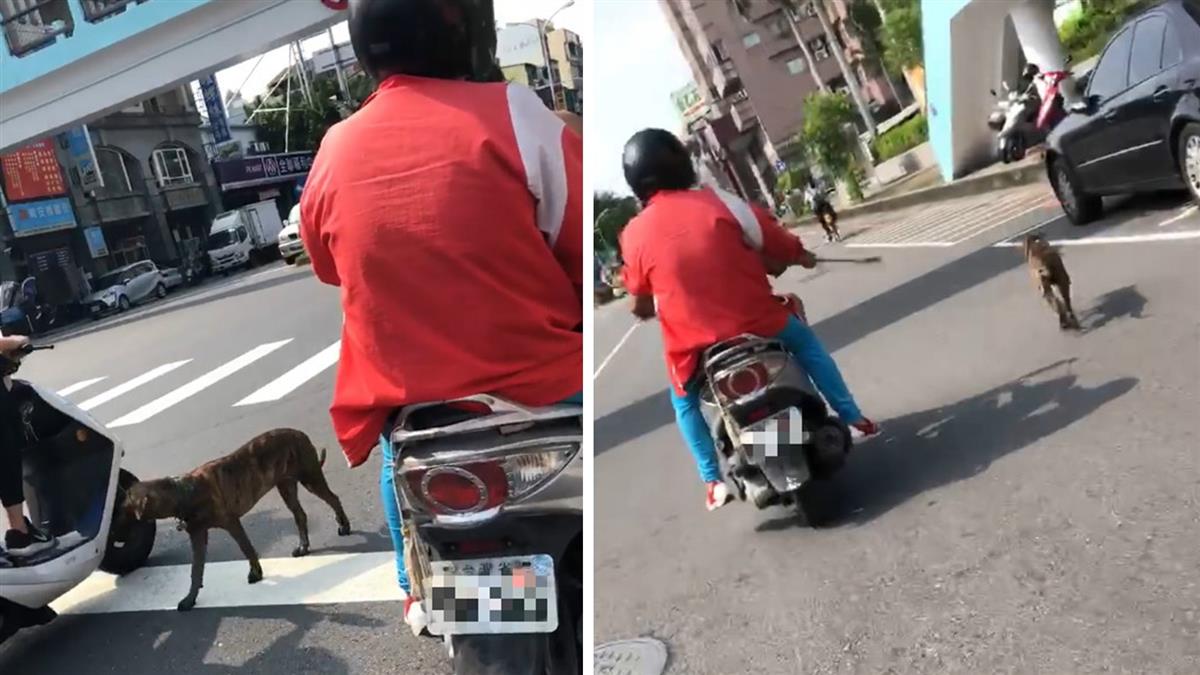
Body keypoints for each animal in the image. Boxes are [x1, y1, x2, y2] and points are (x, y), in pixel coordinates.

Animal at [125, 427, 350, 612]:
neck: (183, 492)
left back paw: (344, 525)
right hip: (286, 485)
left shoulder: (232, 523)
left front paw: (256, 573)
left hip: (309, 477)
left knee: (333, 498)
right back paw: (304, 546)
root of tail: (299, 432)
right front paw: (190, 598)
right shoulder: (198, 535)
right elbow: (196, 570)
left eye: (124, 505)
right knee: (300, 514)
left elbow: (246, 548)